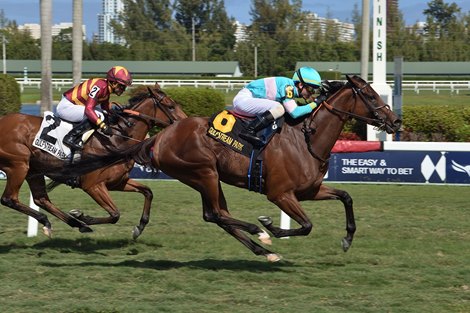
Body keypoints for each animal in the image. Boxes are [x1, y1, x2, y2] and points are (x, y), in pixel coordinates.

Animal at [0, 83, 187, 236]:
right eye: (170, 106)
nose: (185, 122)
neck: (116, 140)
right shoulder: (93, 186)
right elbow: (115, 214)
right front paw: (83, 216)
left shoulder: (118, 182)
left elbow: (148, 192)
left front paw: (139, 227)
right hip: (18, 166)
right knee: (9, 199)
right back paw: (70, 221)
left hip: (34, 170)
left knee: (41, 199)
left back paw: (65, 223)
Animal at [62, 76, 402, 260]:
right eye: (369, 94)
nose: (395, 121)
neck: (307, 139)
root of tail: (159, 137)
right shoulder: (280, 194)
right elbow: (305, 225)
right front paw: (270, 226)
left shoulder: (310, 190)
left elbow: (345, 196)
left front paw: (347, 238)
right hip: (204, 172)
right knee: (217, 214)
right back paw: (259, 234)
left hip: (205, 178)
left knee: (217, 215)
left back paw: (262, 249)